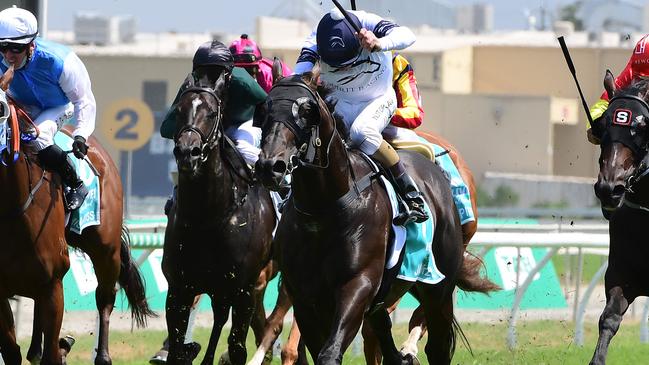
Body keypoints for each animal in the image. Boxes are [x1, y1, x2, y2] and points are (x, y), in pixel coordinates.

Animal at [0, 94, 152, 364]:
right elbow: (12, 351)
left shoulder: (53, 285)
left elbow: (50, 353)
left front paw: (61, 347)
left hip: (105, 249)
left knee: (105, 297)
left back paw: (101, 355)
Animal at [163, 69, 274, 362]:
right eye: (179, 111)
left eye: (212, 113)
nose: (187, 152)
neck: (207, 217)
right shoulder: (180, 288)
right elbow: (177, 349)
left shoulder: (244, 289)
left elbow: (237, 348)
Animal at [256, 74, 494, 364]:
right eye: (264, 109)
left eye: (305, 111)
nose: (270, 166)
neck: (322, 211)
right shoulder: (304, 298)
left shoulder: (358, 285)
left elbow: (330, 352)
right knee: (380, 332)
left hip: (437, 286)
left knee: (436, 344)